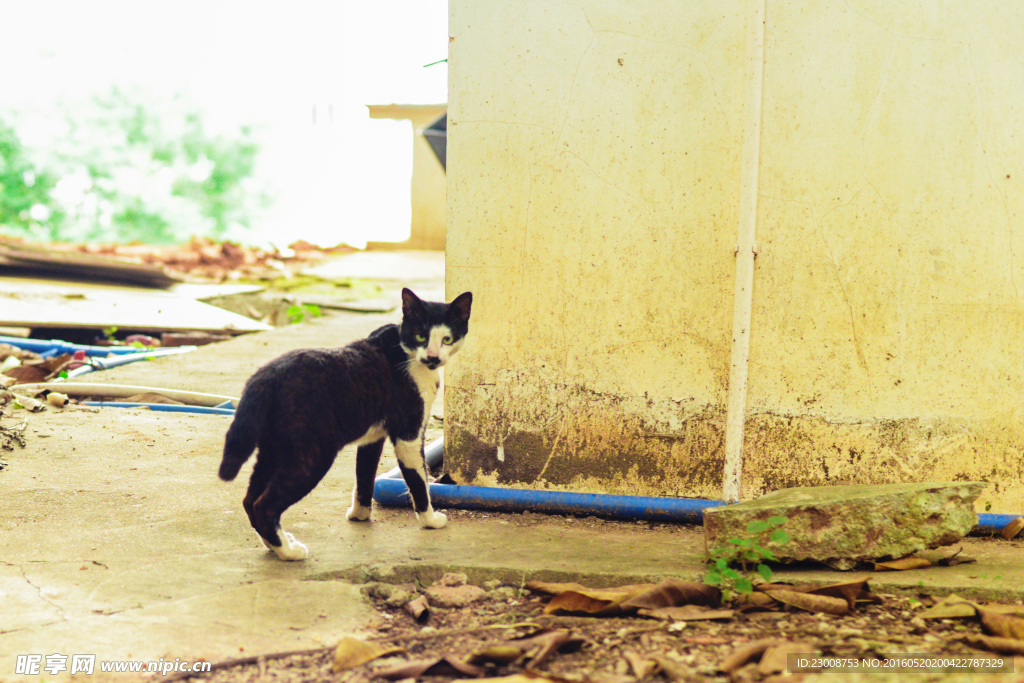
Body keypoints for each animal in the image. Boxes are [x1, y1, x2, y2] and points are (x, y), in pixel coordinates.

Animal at [219, 288, 471, 561]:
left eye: (447, 339)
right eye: (421, 336)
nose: (433, 357)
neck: (408, 356)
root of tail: (267, 374)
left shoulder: (373, 438)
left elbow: (364, 476)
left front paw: (359, 515)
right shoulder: (409, 434)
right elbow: (419, 481)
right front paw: (430, 520)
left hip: (272, 450)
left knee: (249, 500)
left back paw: (275, 545)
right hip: (311, 456)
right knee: (263, 505)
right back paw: (288, 552)